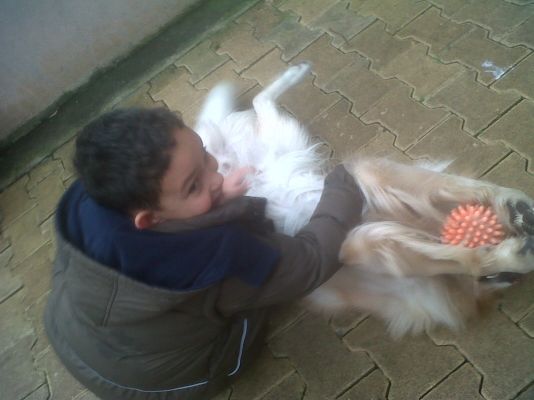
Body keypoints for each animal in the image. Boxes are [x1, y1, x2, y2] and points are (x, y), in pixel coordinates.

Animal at [195, 63, 534, 337]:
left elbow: (453, 188)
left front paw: (511, 206)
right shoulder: (363, 214)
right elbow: (453, 250)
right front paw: (508, 244)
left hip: (285, 140)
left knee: (260, 102)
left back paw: (295, 72)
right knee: (256, 103)